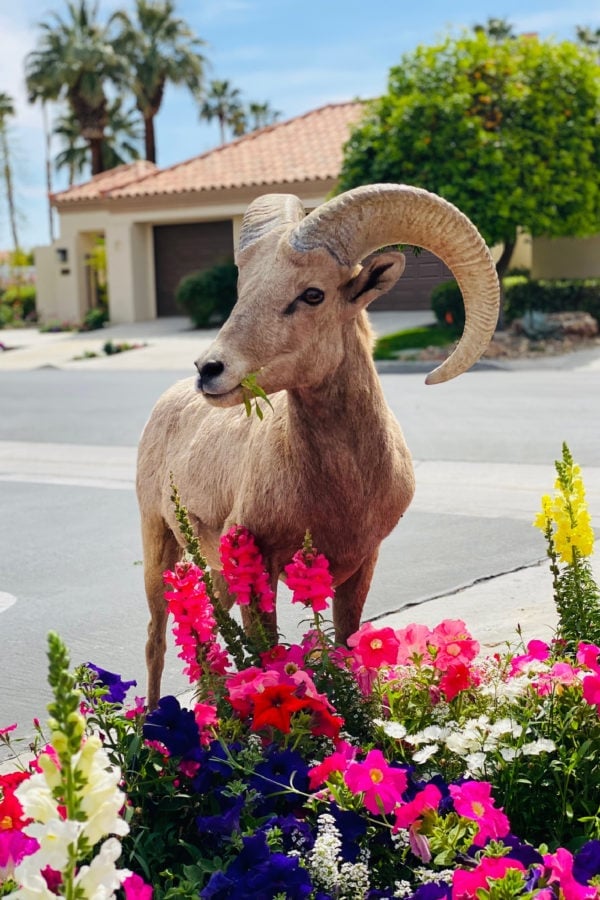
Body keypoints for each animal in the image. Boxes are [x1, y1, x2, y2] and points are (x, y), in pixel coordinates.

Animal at [138, 183, 500, 708]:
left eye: (312, 294)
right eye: (243, 290)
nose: (210, 369)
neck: (340, 491)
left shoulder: (361, 564)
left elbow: (346, 647)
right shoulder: (258, 567)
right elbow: (265, 660)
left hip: (211, 571)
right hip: (158, 542)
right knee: (157, 640)